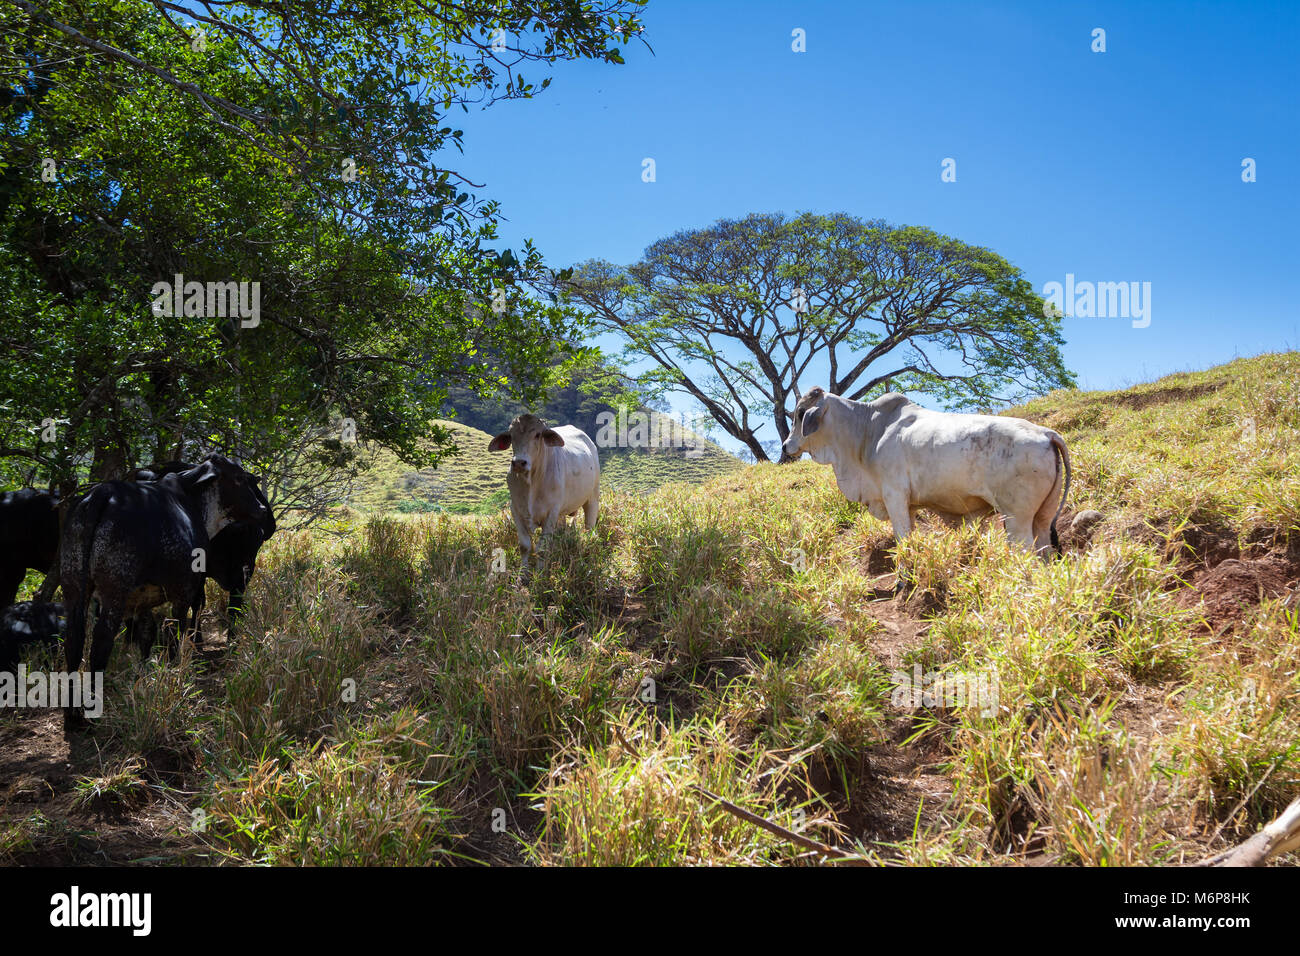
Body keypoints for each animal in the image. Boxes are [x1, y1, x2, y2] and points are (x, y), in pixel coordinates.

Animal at [61, 452, 269, 723]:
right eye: (239, 478)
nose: (262, 509)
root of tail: (102, 494)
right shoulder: (183, 591)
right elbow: (175, 633)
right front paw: (173, 675)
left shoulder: (141, 601)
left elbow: (147, 635)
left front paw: (142, 677)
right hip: (114, 592)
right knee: (101, 643)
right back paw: (92, 712)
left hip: (74, 587)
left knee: (74, 642)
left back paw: (71, 714)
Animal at [488, 413, 598, 564]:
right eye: (511, 435)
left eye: (538, 434)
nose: (519, 463)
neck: (531, 483)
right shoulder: (516, 510)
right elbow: (525, 546)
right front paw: (523, 571)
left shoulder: (551, 513)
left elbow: (542, 549)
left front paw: (540, 570)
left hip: (593, 498)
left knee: (589, 527)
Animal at [780, 387, 1066, 554]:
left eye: (800, 413)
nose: (785, 445)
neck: (868, 430)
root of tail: (1047, 433)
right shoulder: (910, 506)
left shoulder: (894, 496)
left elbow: (902, 540)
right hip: (1042, 520)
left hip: (1016, 519)